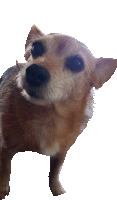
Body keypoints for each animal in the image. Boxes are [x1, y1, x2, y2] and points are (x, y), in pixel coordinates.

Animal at [0, 25, 117, 198]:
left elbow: (55, 171)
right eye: (36, 48)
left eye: (77, 63)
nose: (35, 72)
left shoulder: (61, 152)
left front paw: (56, 189)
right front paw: (2, 190)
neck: (49, 116)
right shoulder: (5, 149)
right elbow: (5, 171)